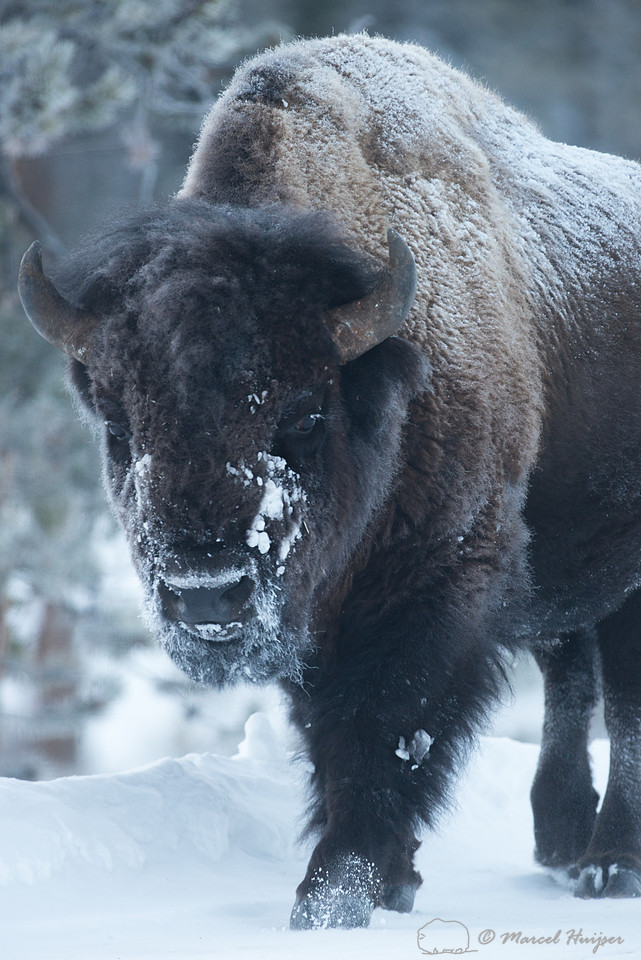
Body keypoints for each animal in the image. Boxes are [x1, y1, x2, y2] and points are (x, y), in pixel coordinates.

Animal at [18, 35, 641, 927]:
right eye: (116, 423)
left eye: (304, 415)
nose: (205, 593)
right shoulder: (319, 616)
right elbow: (331, 734)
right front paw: (392, 882)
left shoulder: (430, 590)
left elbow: (384, 730)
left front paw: (332, 897)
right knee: (570, 671)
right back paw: (558, 842)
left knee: (622, 699)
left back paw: (606, 863)